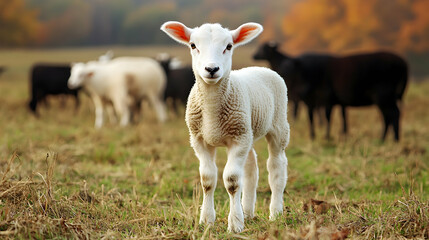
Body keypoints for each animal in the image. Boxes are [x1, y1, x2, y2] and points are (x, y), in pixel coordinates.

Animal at [161, 22, 290, 232]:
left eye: (229, 46)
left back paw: (275, 213)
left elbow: (232, 181)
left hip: (277, 125)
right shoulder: (199, 140)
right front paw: (207, 220)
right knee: (251, 167)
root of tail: (260, 67)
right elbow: (207, 180)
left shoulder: (237, 140)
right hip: (247, 131)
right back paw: (248, 212)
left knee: (276, 167)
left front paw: (235, 224)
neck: (212, 110)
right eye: (193, 45)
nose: (211, 68)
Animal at [254, 42, 408, 141]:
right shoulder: (310, 100)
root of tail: (402, 63)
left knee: (393, 114)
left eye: (289, 66)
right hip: (385, 97)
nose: (254, 55)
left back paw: (393, 139)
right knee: (389, 116)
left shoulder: (326, 99)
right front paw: (313, 136)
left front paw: (327, 137)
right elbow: (311, 118)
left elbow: (327, 118)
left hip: (384, 95)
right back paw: (385, 139)